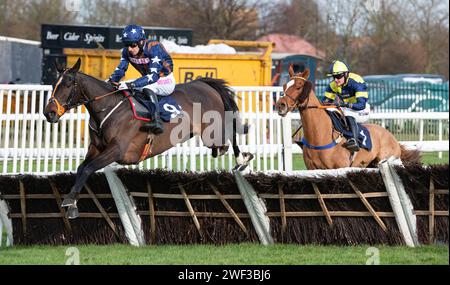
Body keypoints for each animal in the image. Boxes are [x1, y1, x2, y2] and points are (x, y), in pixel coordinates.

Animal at [44, 58, 255, 217]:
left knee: (228, 136)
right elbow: (81, 168)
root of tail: (204, 83)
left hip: (211, 133)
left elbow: (88, 169)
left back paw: (242, 159)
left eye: (68, 84)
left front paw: (69, 201)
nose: (49, 113)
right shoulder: (96, 149)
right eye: (54, 84)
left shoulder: (117, 150)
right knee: (221, 146)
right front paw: (72, 203)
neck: (107, 107)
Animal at [274, 65, 422, 170]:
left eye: (299, 86)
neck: (319, 135)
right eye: (284, 86)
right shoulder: (312, 169)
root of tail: (393, 138)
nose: (280, 105)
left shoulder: (340, 167)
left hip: (387, 160)